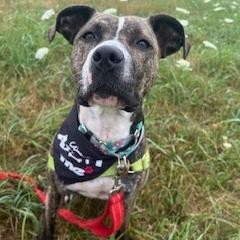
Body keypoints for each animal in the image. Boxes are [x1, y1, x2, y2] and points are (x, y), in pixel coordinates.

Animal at [38, 4, 190, 239]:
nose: (107, 54)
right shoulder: (53, 191)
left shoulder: (128, 199)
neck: (106, 128)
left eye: (142, 43)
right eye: (89, 35)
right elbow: (49, 224)